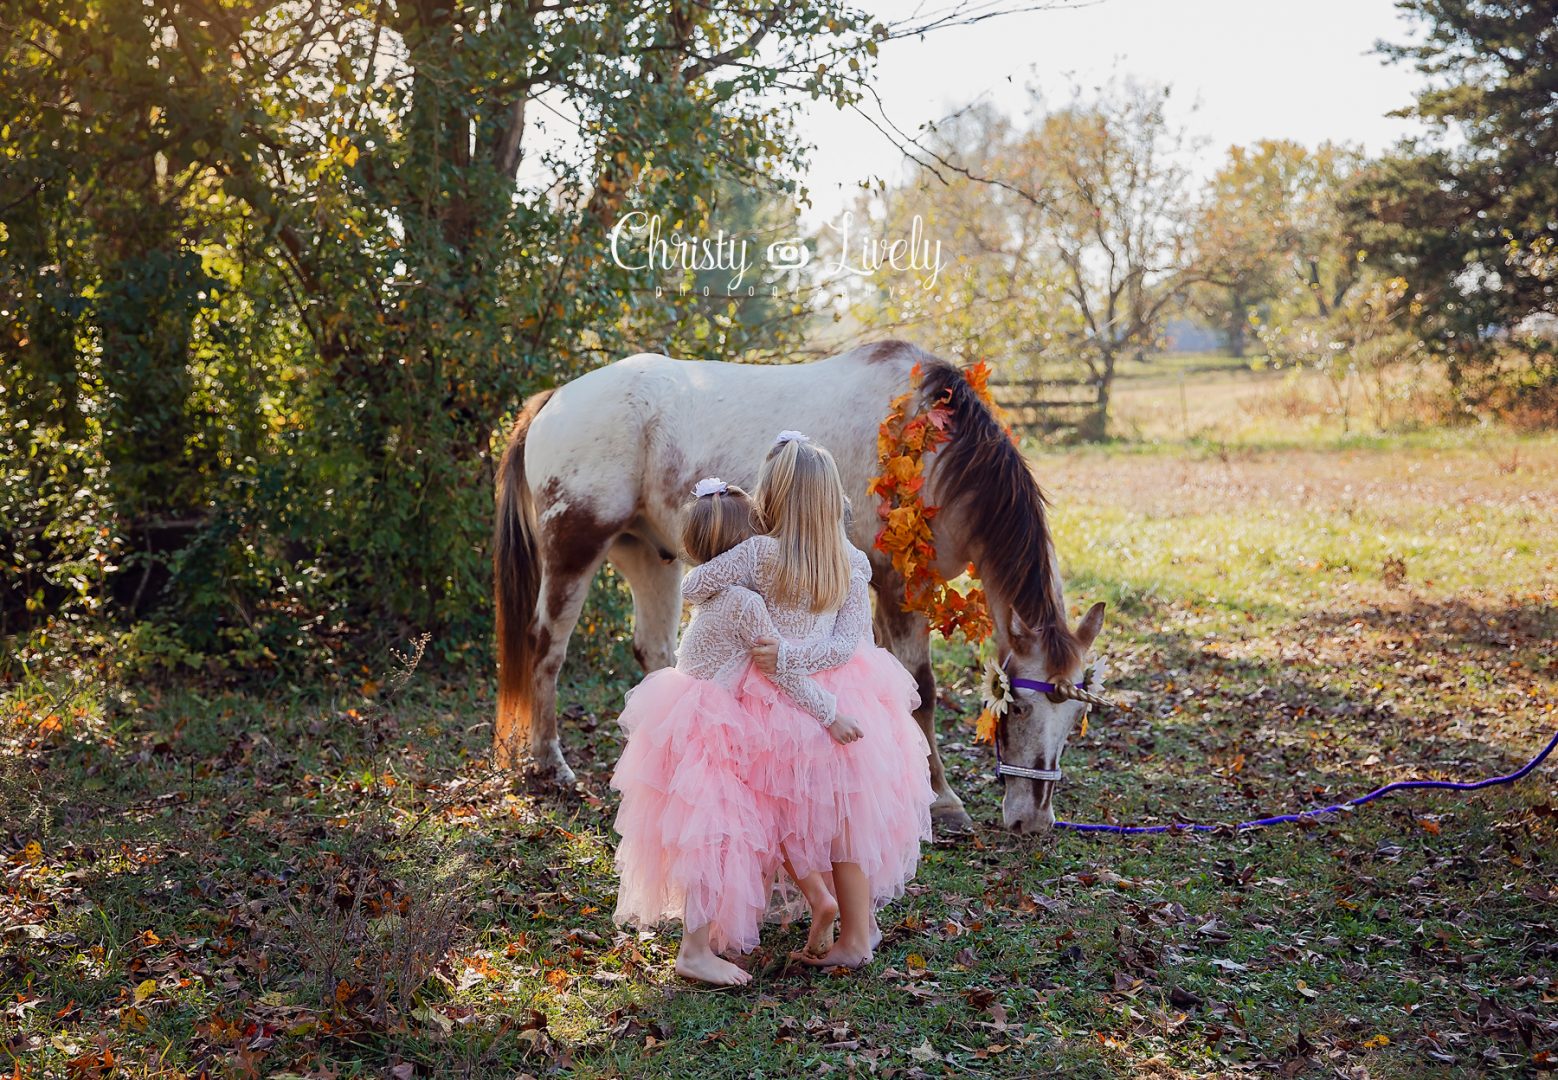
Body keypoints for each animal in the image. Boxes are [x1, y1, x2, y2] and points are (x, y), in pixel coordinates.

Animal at [492, 341, 1103, 829]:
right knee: (546, 647)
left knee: (657, 652)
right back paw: (551, 764)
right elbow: (921, 690)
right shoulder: (897, 587)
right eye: (1018, 710)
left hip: (648, 554)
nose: (1033, 821)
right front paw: (942, 799)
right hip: (574, 551)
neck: (930, 442)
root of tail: (555, 399)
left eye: (1074, 719)